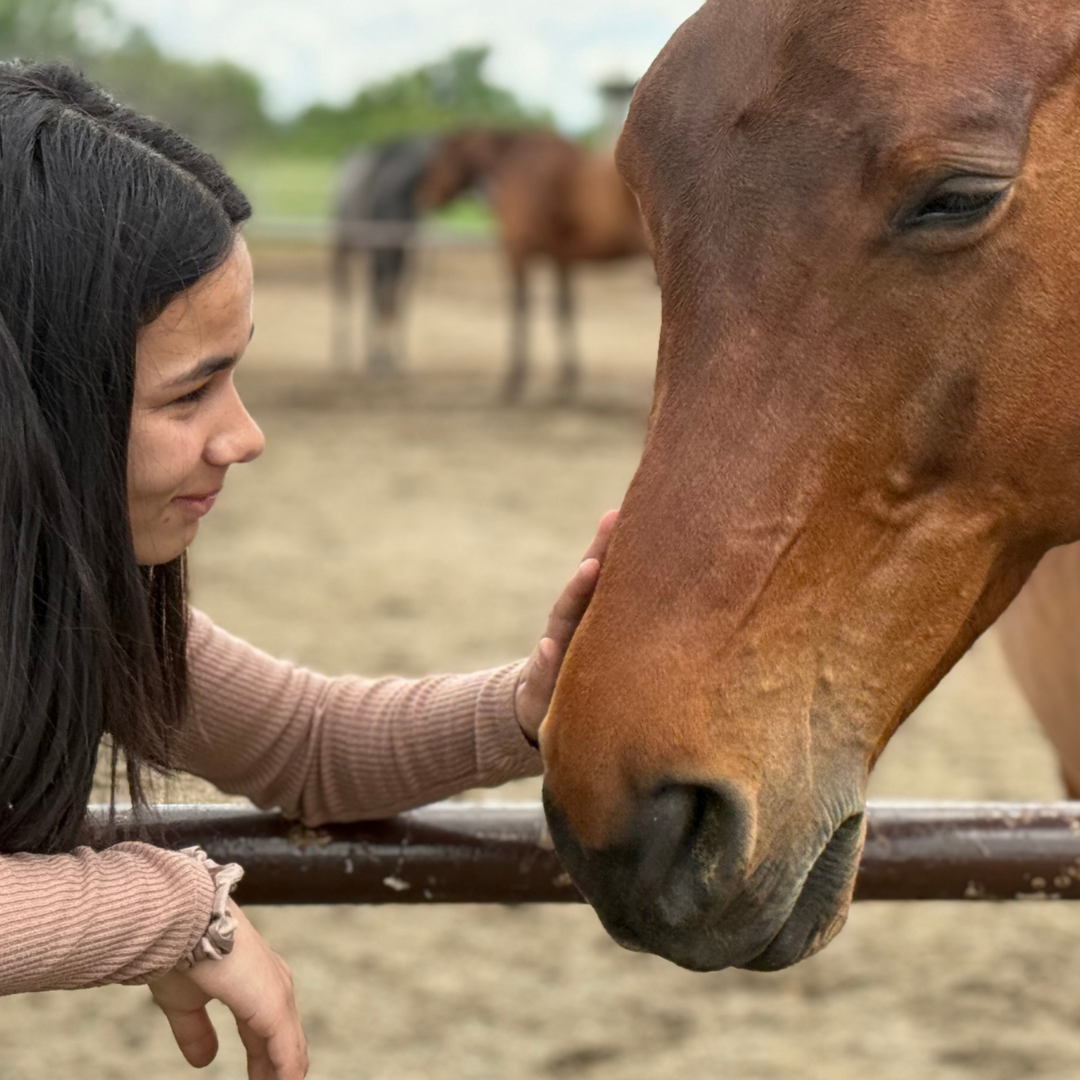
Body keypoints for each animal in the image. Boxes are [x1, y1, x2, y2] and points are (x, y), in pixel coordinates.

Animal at [331, 137, 438, 374]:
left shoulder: (403, 256)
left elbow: (394, 301)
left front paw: (393, 357)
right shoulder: (381, 253)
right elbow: (382, 299)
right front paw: (377, 358)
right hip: (343, 247)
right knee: (344, 292)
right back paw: (341, 351)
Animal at [417, 129, 649, 401]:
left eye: (439, 161)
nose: (423, 197)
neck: (515, 164)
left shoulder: (517, 252)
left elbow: (520, 307)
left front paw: (515, 380)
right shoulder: (561, 258)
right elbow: (564, 309)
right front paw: (567, 380)